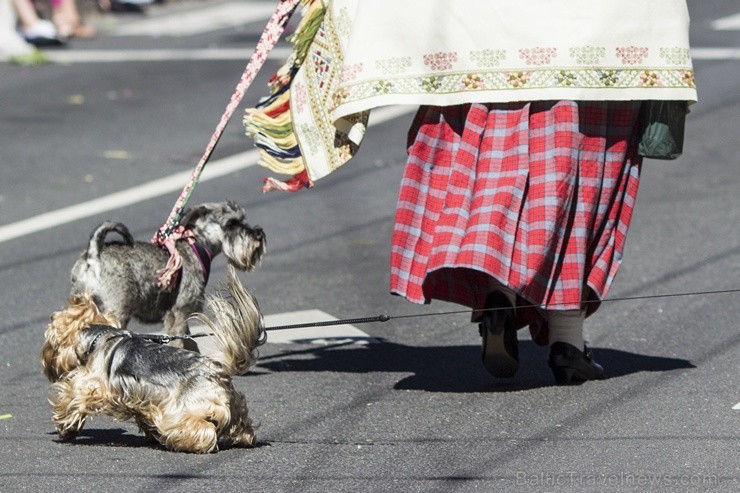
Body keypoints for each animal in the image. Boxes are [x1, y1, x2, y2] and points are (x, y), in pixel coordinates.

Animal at [41, 268, 266, 452]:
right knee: (243, 424)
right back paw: (244, 436)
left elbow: (72, 397)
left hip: (181, 411)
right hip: (234, 404)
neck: (99, 338)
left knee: (202, 431)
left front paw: (65, 427)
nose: (45, 361)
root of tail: (218, 371)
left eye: (49, 340)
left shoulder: (91, 385)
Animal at [69, 199, 266, 342]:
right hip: (116, 312)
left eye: (242, 219)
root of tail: (93, 255)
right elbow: (183, 343)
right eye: (231, 223)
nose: (258, 234)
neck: (195, 245)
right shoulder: (178, 315)